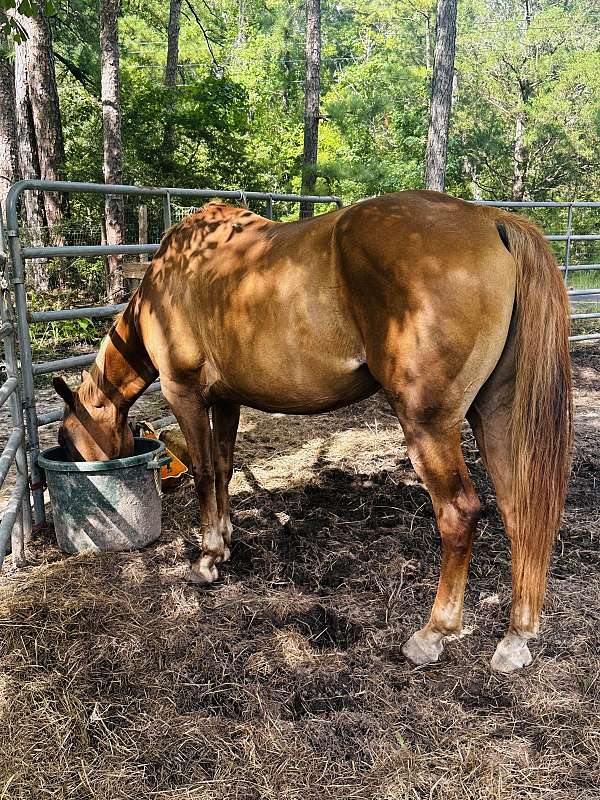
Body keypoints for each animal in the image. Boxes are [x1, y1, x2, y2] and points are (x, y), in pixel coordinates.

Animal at [52, 191, 572, 673]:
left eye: (66, 441)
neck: (170, 280)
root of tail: (489, 219)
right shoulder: (227, 400)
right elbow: (223, 469)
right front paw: (224, 543)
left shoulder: (186, 395)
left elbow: (202, 473)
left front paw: (205, 560)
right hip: (495, 414)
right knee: (518, 509)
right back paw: (515, 638)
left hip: (429, 425)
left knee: (459, 514)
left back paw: (432, 635)